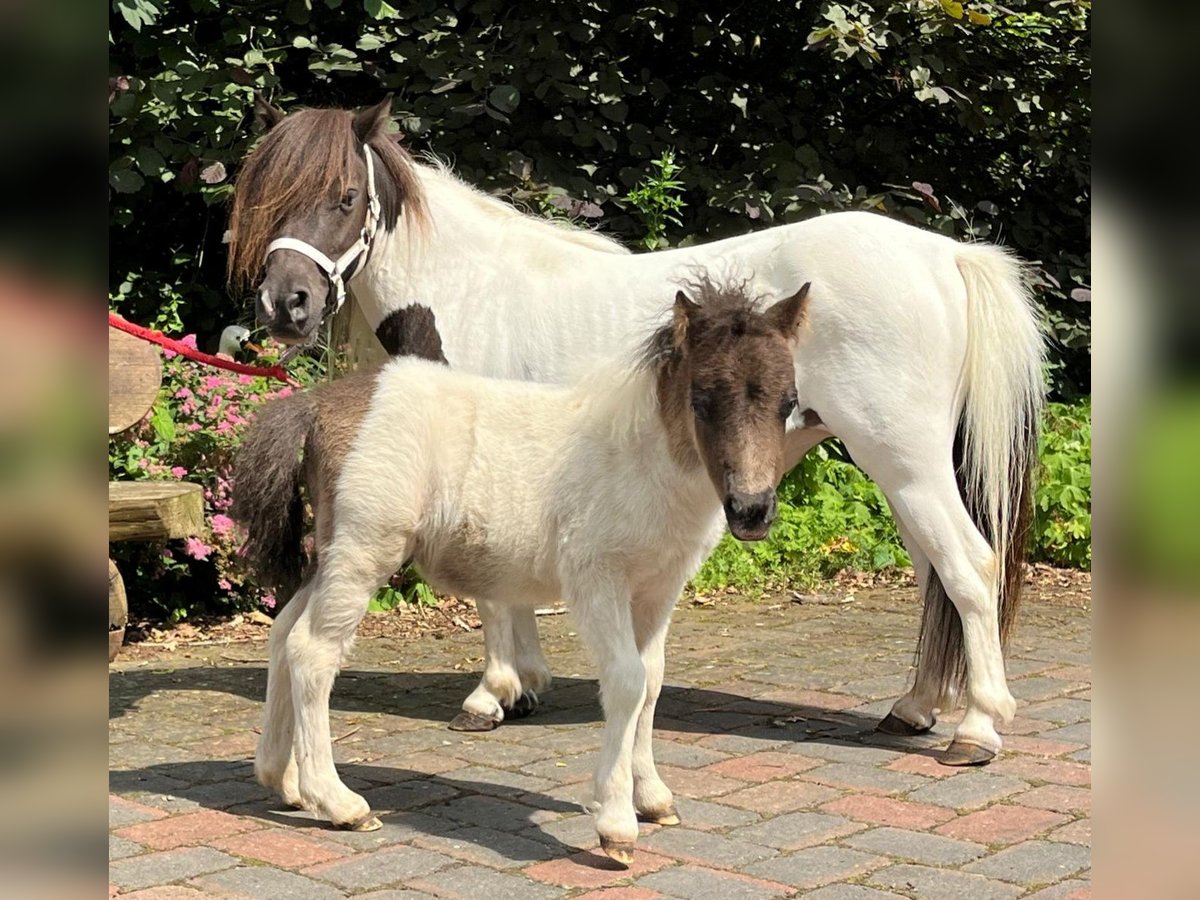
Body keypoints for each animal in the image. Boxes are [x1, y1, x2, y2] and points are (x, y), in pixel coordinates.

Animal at [231, 278, 816, 864]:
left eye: (788, 403)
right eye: (702, 400)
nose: (752, 511)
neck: (643, 458)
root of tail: (316, 405)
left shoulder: (658, 587)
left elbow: (651, 682)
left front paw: (653, 797)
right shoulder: (596, 578)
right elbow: (626, 681)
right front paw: (616, 823)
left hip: (332, 555)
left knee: (283, 634)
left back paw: (281, 779)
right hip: (361, 550)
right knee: (312, 652)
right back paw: (339, 803)